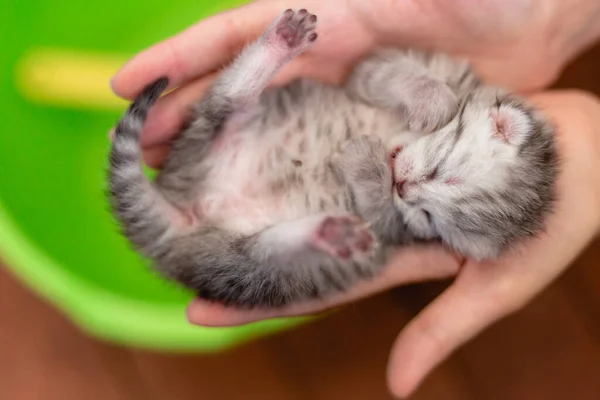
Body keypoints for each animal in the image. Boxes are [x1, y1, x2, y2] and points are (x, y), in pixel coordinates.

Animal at [106, 7, 556, 308]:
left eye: (429, 218)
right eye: (439, 169)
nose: (402, 184)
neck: (396, 140)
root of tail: (185, 206)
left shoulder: (397, 232)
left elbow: (382, 213)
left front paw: (366, 165)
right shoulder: (388, 68)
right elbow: (391, 71)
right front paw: (434, 101)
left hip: (247, 273)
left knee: (262, 253)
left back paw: (328, 233)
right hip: (212, 133)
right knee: (227, 102)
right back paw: (281, 42)